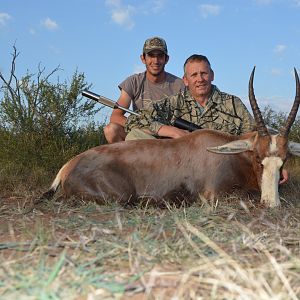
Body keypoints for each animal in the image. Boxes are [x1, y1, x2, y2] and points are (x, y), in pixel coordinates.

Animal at [42, 68, 300, 207]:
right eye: (257, 157)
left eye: (285, 159)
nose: (271, 203)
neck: (230, 154)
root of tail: (69, 165)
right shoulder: (213, 196)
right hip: (119, 196)